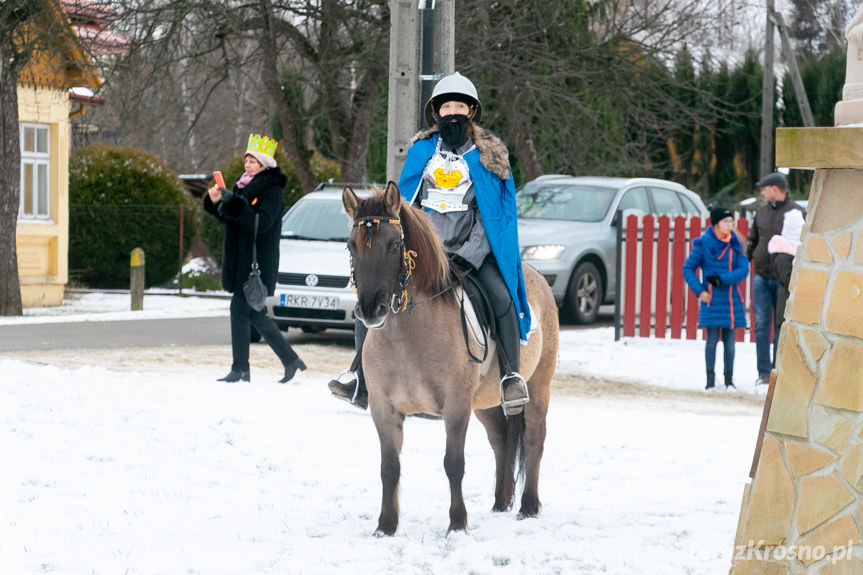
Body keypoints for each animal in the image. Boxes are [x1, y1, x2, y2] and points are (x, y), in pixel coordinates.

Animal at [344, 181, 560, 536]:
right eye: (351, 246)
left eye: (395, 245)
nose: (371, 309)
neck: (409, 335)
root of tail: (535, 275)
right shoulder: (383, 408)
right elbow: (389, 466)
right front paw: (385, 526)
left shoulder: (456, 405)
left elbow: (453, 463)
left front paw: (457, 524)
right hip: (484, 401)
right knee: (501, 440)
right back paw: (501, 502)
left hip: (539, 384)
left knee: (534, 439)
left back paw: (528, 506)